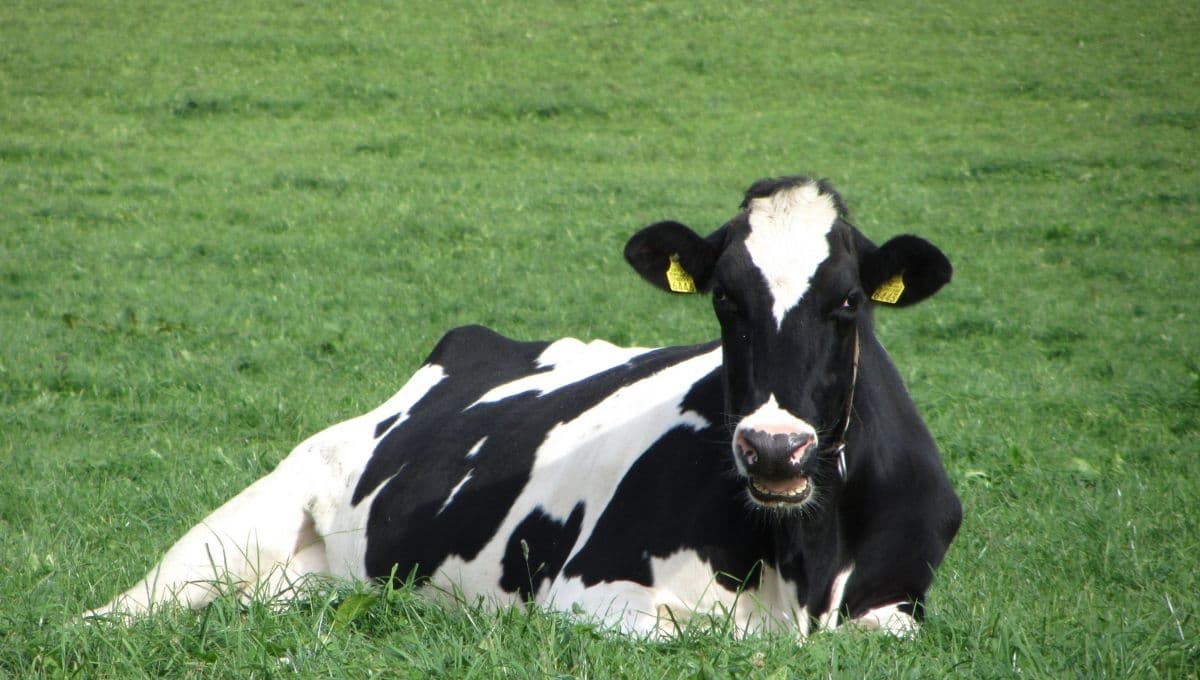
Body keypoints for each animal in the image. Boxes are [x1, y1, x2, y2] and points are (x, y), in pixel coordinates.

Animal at [85, 175, 961, 637]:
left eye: (848, 302)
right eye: (724, 299)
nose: (774, 447)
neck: (799, 560)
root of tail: (471, 343)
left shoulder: (899, 604)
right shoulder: (590, 590)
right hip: (247, 517)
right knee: (125, 607)